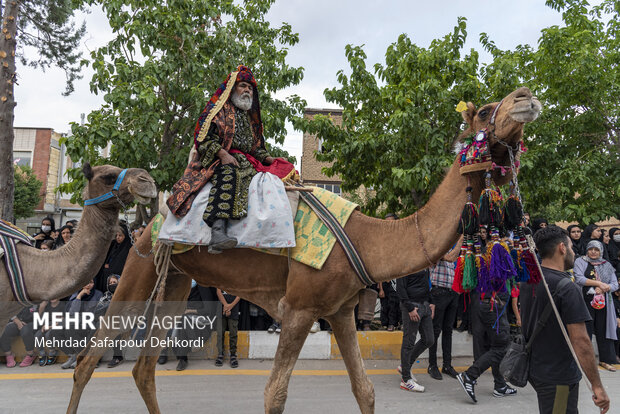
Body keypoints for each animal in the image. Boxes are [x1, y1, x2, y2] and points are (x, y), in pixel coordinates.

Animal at [69, 85, 544, 412]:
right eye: (483, 110)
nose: (527, 97)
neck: (369, 238)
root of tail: (150, 222)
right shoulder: (298, 308)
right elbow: (275, 393)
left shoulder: (340, 310)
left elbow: (365, 390)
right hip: (137, 270)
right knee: (88, 360)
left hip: (174, 280)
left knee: (143, 368)